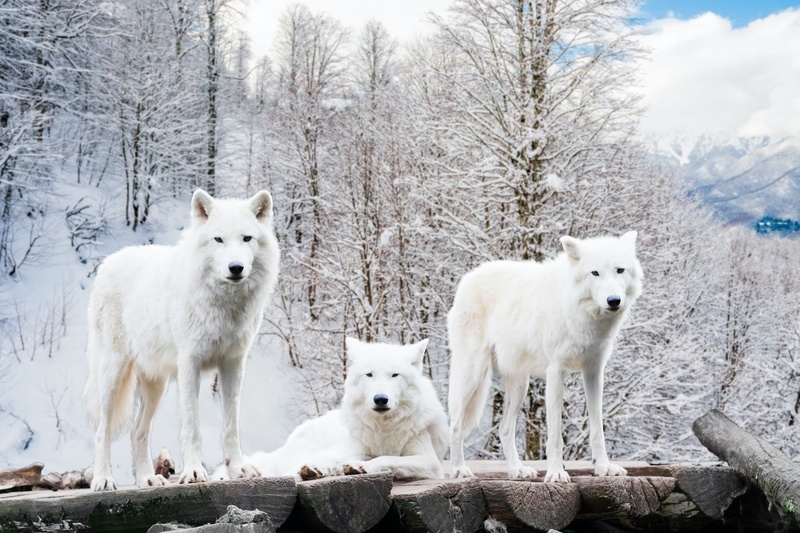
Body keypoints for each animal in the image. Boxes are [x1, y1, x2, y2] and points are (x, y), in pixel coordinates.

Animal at [83, 189, 279, 490]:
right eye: (218, 239)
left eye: (247, 238)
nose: (236, 267)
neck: (224, 304)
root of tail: (108, 261)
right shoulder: (190, 364)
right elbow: (191, 425)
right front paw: (195, 472)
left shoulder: (233, 364)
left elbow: (231, 425)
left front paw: (238, 469)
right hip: (112, 375)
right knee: (101, 430)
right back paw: (104, 479)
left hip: (156, 386)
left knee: (137, 432)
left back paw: (147, 479)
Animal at [232, 338, 448, 481]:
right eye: (369, 374)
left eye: (395, 375)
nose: (380, 399)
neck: (383, 428)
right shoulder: (359, 449)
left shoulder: (430, 461)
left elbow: (389, 458)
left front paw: (361, 467)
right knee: (289, 469)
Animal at [447, 231, 642, 482]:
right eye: (595, 272)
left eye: (620, 270)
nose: (613, 300)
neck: (580, 314)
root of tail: (469, 276)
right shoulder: (555, 372)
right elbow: (555, 434)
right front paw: (556, 472)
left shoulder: (594, 372)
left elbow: (597, 429)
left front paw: (603, 467)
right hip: (473, 374)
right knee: (456, 424)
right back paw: (458, 469)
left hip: (519, 386)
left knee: (504, 429)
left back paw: (517, 470)